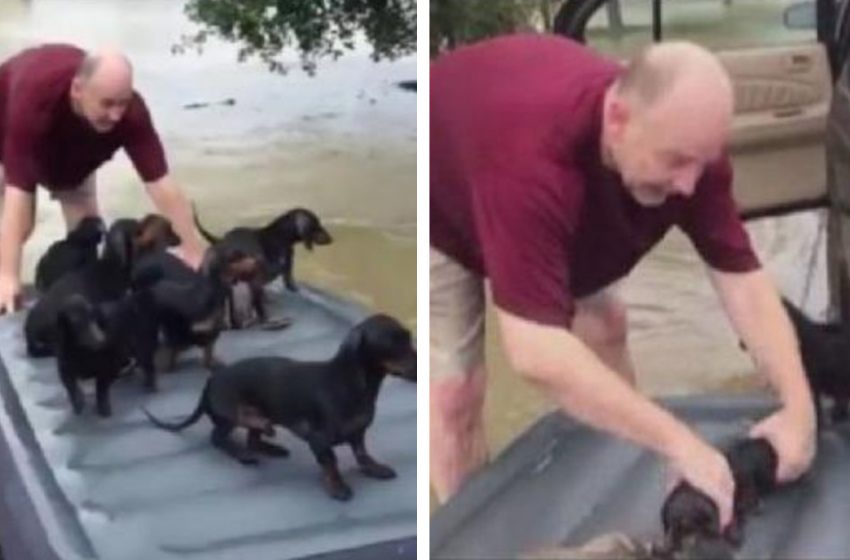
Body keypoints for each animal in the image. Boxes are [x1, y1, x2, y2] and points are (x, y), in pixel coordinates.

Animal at [147, 312, 418, 500]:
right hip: (232, 415)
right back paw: (243, 454)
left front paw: (375, 468)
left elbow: (362, 454)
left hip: (262, 414)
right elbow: (331, 463)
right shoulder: (318, 440)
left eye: (408, 337)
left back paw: (271, 447)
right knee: (219, 438)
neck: (349, 384)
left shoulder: (358, 434)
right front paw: (338, 487)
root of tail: (210, 382)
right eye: (392, 342)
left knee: (253, 438)